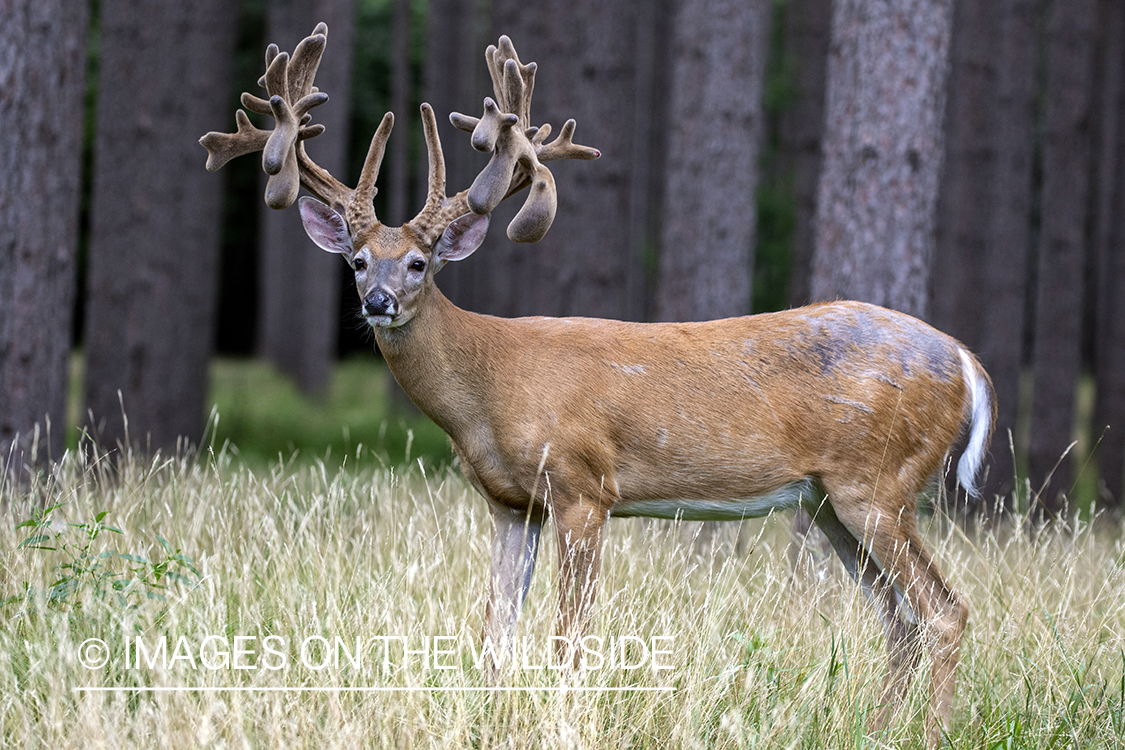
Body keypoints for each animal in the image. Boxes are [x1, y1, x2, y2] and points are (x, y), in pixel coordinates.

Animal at [202, 22, 994, 746]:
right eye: (359, 261)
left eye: (420, 263)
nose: (377, 303)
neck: (490, 387)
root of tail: (965, 361)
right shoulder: (509, 502)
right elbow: (495, 634)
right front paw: (491, 722)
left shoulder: (584, 485)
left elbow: (569, 638)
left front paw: (561, 721)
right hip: (831, 499)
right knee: (898, 617)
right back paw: (878, 729)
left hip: (878, 481)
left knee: (943, 610)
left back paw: (931, 733)